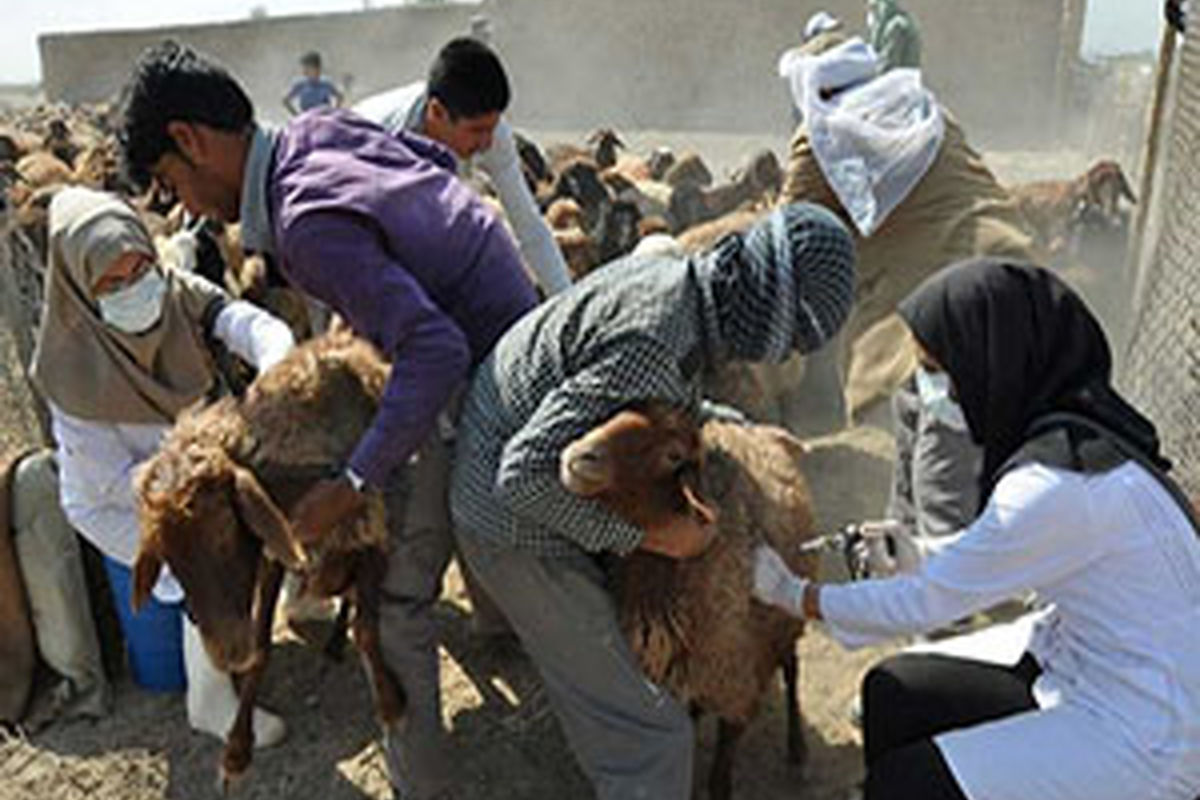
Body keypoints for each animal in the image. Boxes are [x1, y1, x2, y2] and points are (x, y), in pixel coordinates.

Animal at [130, 331, 400, 786]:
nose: (226, 653)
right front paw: (237, 751)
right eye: (167, 555)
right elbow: (260, 650)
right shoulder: (277, 550)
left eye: (225, 528)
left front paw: (390, 703)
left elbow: (366, 628)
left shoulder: (371, 525)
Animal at [561, 402, 816, 800]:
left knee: (791, 668)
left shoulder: (737, 687)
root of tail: (762, 431)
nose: (580, 455)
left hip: (783, 625)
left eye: (673, 455)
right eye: (620, 410)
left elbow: (720, 778)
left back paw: (797, 751)